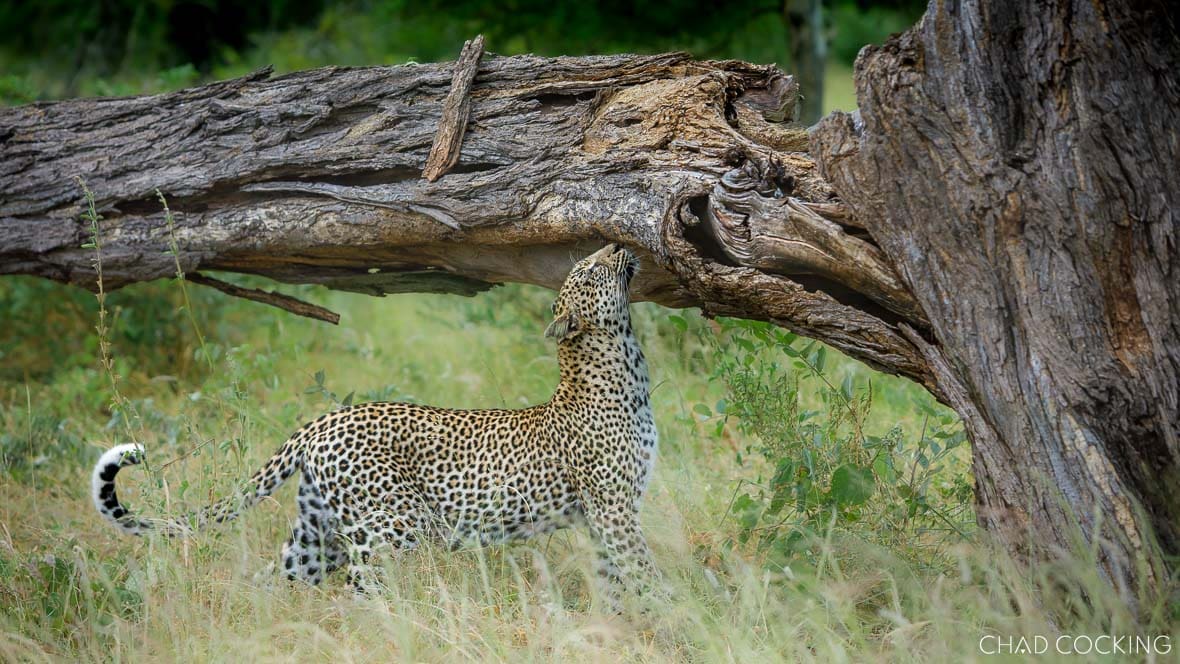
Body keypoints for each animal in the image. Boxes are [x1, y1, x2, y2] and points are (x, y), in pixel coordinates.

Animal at [92, 243, 662, 603]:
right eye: (589, 271)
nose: (615, 243)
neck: (627, 366)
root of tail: (322, 422)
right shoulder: (613, 509)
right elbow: (645, 571)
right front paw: (673, 617)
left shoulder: (603, 517)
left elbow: (616, 580)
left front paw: (618, 625)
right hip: (389, 532)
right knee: (361, 595)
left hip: (316, 537)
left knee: (267, 582)